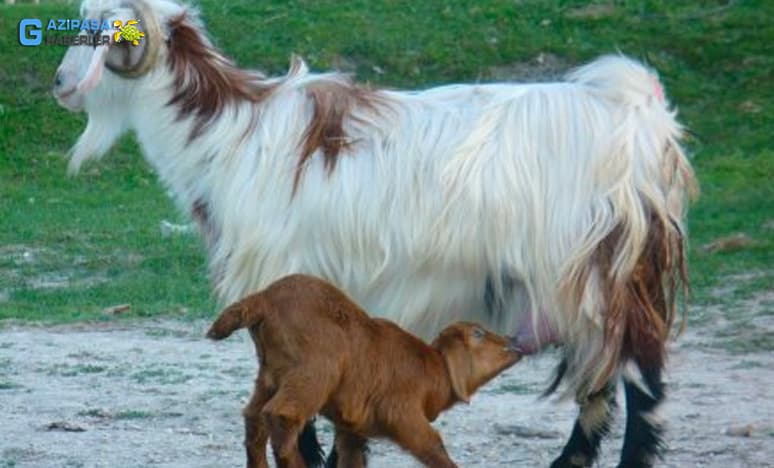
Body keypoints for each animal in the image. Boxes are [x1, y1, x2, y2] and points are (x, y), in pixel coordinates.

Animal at [53, 1, 696, 466]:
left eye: (100, 27)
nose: (60, 84)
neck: (228, 133)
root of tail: (641, 116)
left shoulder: (283, 270)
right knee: (603, 379)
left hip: (599, 268)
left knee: (636, 378)